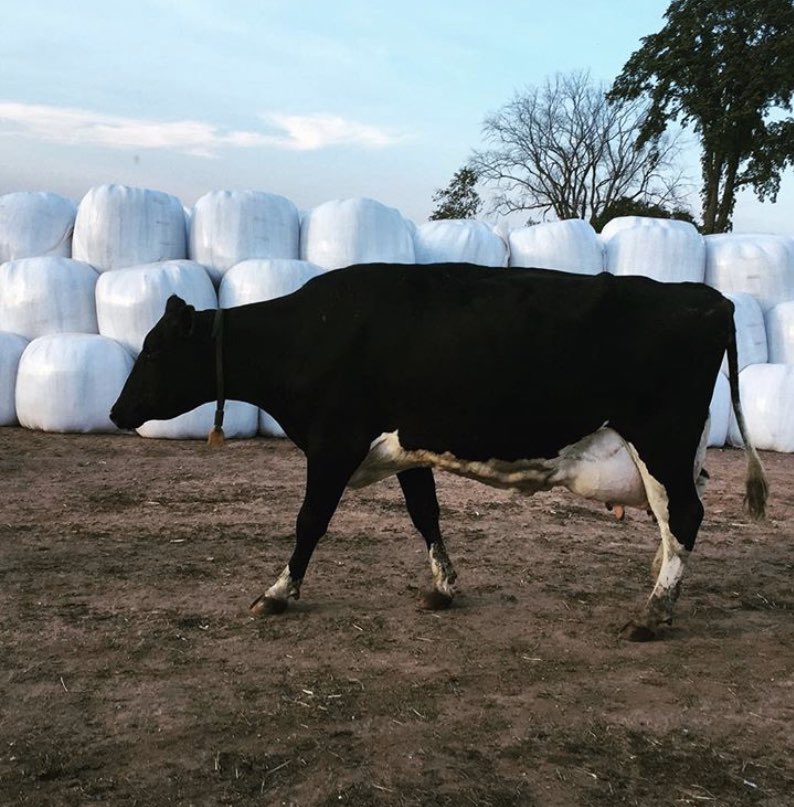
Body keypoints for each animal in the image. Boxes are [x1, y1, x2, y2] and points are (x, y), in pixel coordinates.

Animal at [110, 263, 767, 641]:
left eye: (153, 349)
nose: (116, 412)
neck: (310, 332)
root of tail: (711, 299)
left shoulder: (333, 443)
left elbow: (309, 521)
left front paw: (276, 593)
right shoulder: (407, 447)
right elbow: (425, 514)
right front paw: (444, 586)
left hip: (661, 437)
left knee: (685, 515)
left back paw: (653, 614)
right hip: (674, 449)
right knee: (676, 514)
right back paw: (660, 582)